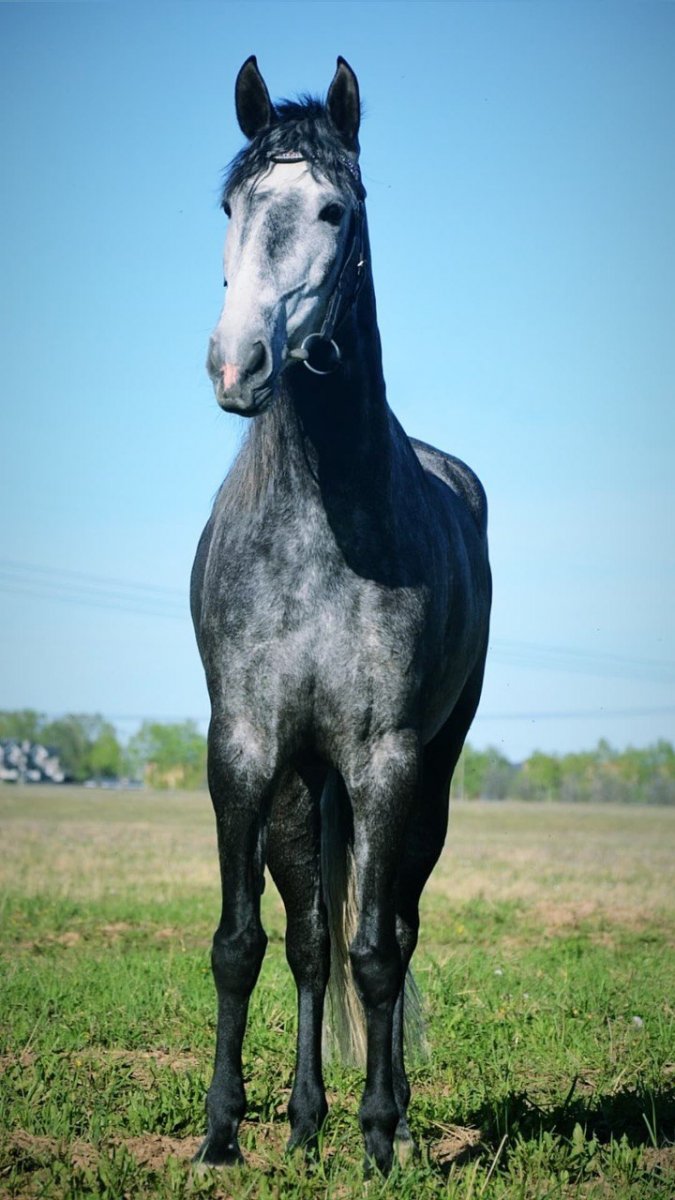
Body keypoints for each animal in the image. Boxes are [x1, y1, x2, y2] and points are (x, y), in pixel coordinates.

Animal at [190, 55, 492, 1175]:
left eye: (333, 208)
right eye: (231, 205)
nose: (237, 364)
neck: (320, 525)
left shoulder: (387, 761)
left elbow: (376, 954)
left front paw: (378, 1141)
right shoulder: (243, 750)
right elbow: (245, 944)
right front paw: (222, 1135)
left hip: (424, 781)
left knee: (391, 933)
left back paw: (380, 1115)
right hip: (302, 785)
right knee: (312, 938)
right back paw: (303, 1119)